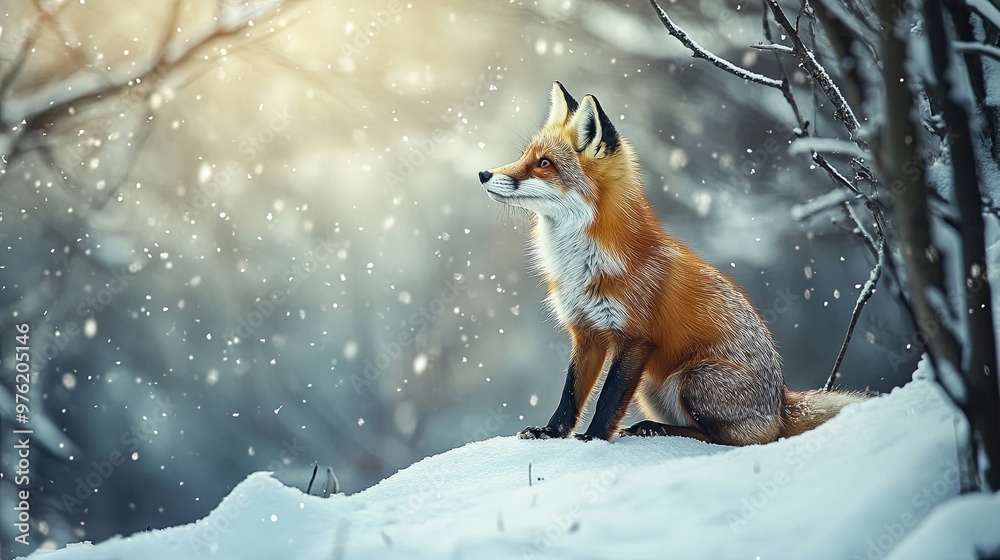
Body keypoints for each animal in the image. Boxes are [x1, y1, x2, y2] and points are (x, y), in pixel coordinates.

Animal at [477, 81, 867, 445]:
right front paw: (552, 432)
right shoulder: (586, 331)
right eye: (526, 156)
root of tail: (782, 404)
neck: (583, 263)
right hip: (653, 385)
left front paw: (594, 439)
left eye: (544, 164)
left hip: (692, 378)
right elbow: (571, 395)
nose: (483, 174)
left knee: (728, 439)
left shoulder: (635, 337)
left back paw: (655, 429)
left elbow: (607, 400)